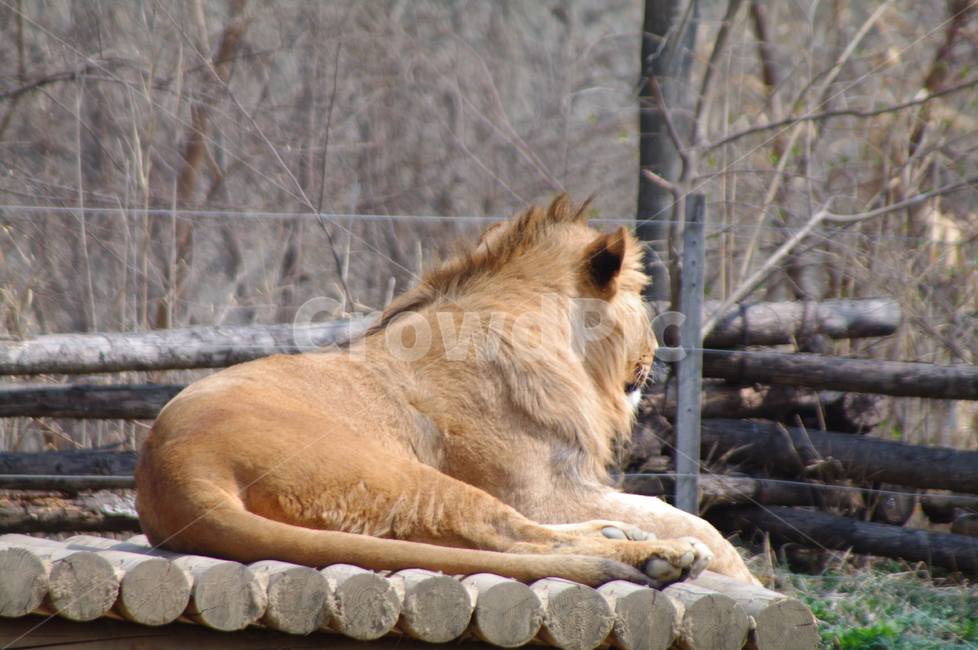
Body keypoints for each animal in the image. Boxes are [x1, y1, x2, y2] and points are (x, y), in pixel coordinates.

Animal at [135, 196, 757, 588]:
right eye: (643, 299)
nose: (657, 352)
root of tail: (171, 469)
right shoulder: (541, 489)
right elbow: (694, 521)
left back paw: (624, 535)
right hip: (399, 475)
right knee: (507, 536)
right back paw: (657, 555)